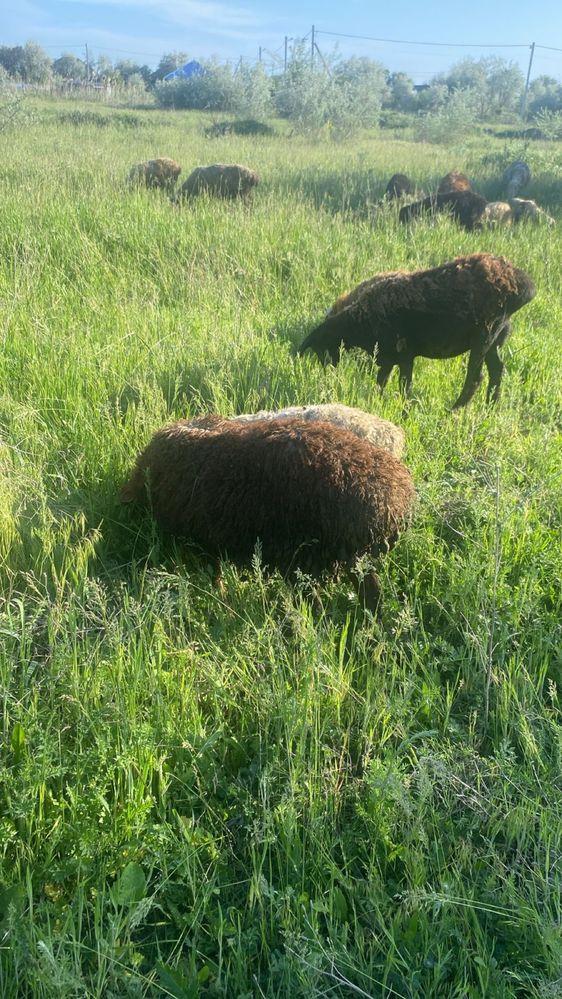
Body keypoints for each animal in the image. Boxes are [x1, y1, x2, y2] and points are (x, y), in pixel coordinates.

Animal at [120, 414, 414, 608]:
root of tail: (394, 498)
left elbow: (215, 576)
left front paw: (223, 602)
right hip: (351, 558)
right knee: (372, 596)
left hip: (311, 557)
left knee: (319, 604)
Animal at [298, 254, 532, 410]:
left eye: (321, 347)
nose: (328, 371)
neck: (360, 321)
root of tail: (524, 285)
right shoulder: (388, 357)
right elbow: (381, 383)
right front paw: (377, 403)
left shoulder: (403, 354)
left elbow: (404, 386)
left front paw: (404, 412)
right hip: (498, 336)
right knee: (497, 370)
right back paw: (490, 407)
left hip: (485, 334)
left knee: (476, 377)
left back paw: (454, 410)